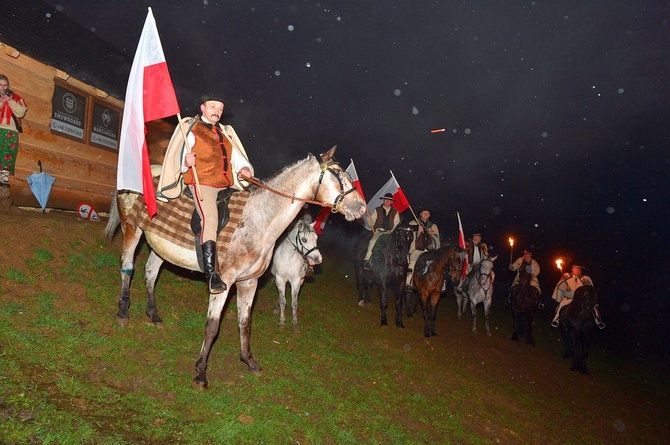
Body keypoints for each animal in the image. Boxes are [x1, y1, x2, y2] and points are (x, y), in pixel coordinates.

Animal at [105, 147, 368, 388]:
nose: (362, 208)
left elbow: (245, 322)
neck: (258, 220)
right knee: (127, 266)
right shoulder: (224, 282)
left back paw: (154, 314)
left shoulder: (248, 282)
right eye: (337, 173)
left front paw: (249, 361)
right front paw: (201, 372)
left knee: (150, 273)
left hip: (160, 246)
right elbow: (212, 326)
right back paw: (123, 312)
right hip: (132, 228)